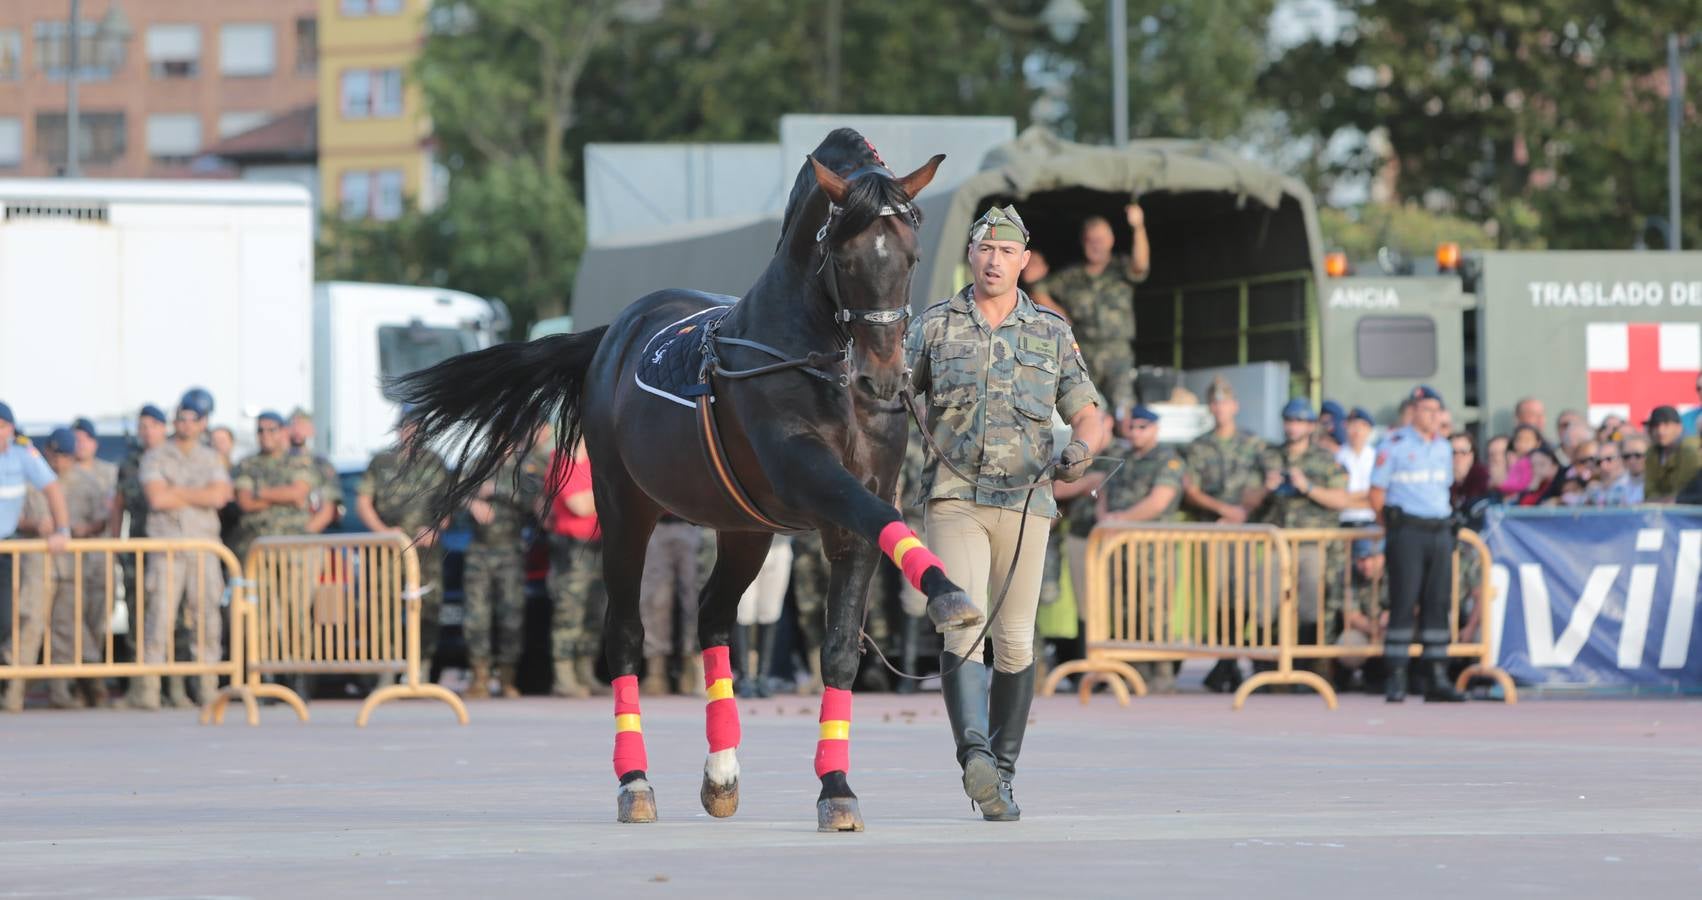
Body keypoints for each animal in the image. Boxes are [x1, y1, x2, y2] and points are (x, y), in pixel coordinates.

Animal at [393, 130, 987, 830]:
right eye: (844, 255)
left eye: (912, 255)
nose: (885, 378)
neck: (818, 360)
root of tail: (612, 335)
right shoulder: (806, 470)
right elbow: (878, 517)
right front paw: (949, 594)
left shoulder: (856, 504)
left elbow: (842, 642)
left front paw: (836, 787)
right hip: (625, 509)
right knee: (625, 634)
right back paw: (635, 781)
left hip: (745, 528)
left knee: (712, 616)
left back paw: (721, 772)